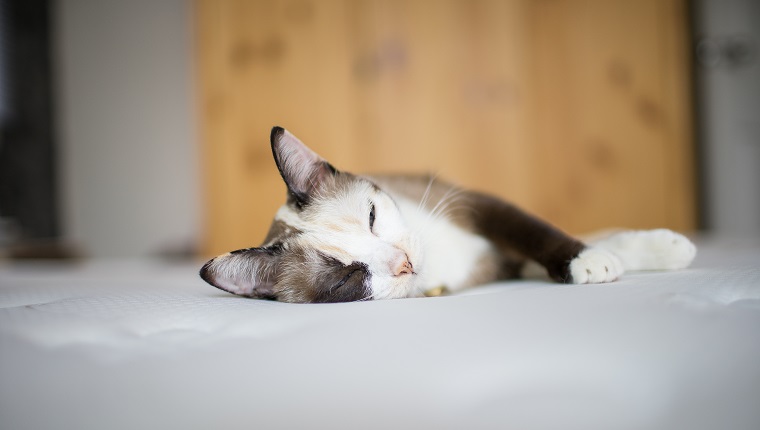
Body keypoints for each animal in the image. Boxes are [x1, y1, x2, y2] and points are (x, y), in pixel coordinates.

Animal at [199, 126, 696, 304]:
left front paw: (634, 252)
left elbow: (538, 232)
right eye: (346, 279)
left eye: (373, 216)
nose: (404, 263)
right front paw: (599, 261)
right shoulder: (501, 264)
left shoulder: (478, 205)